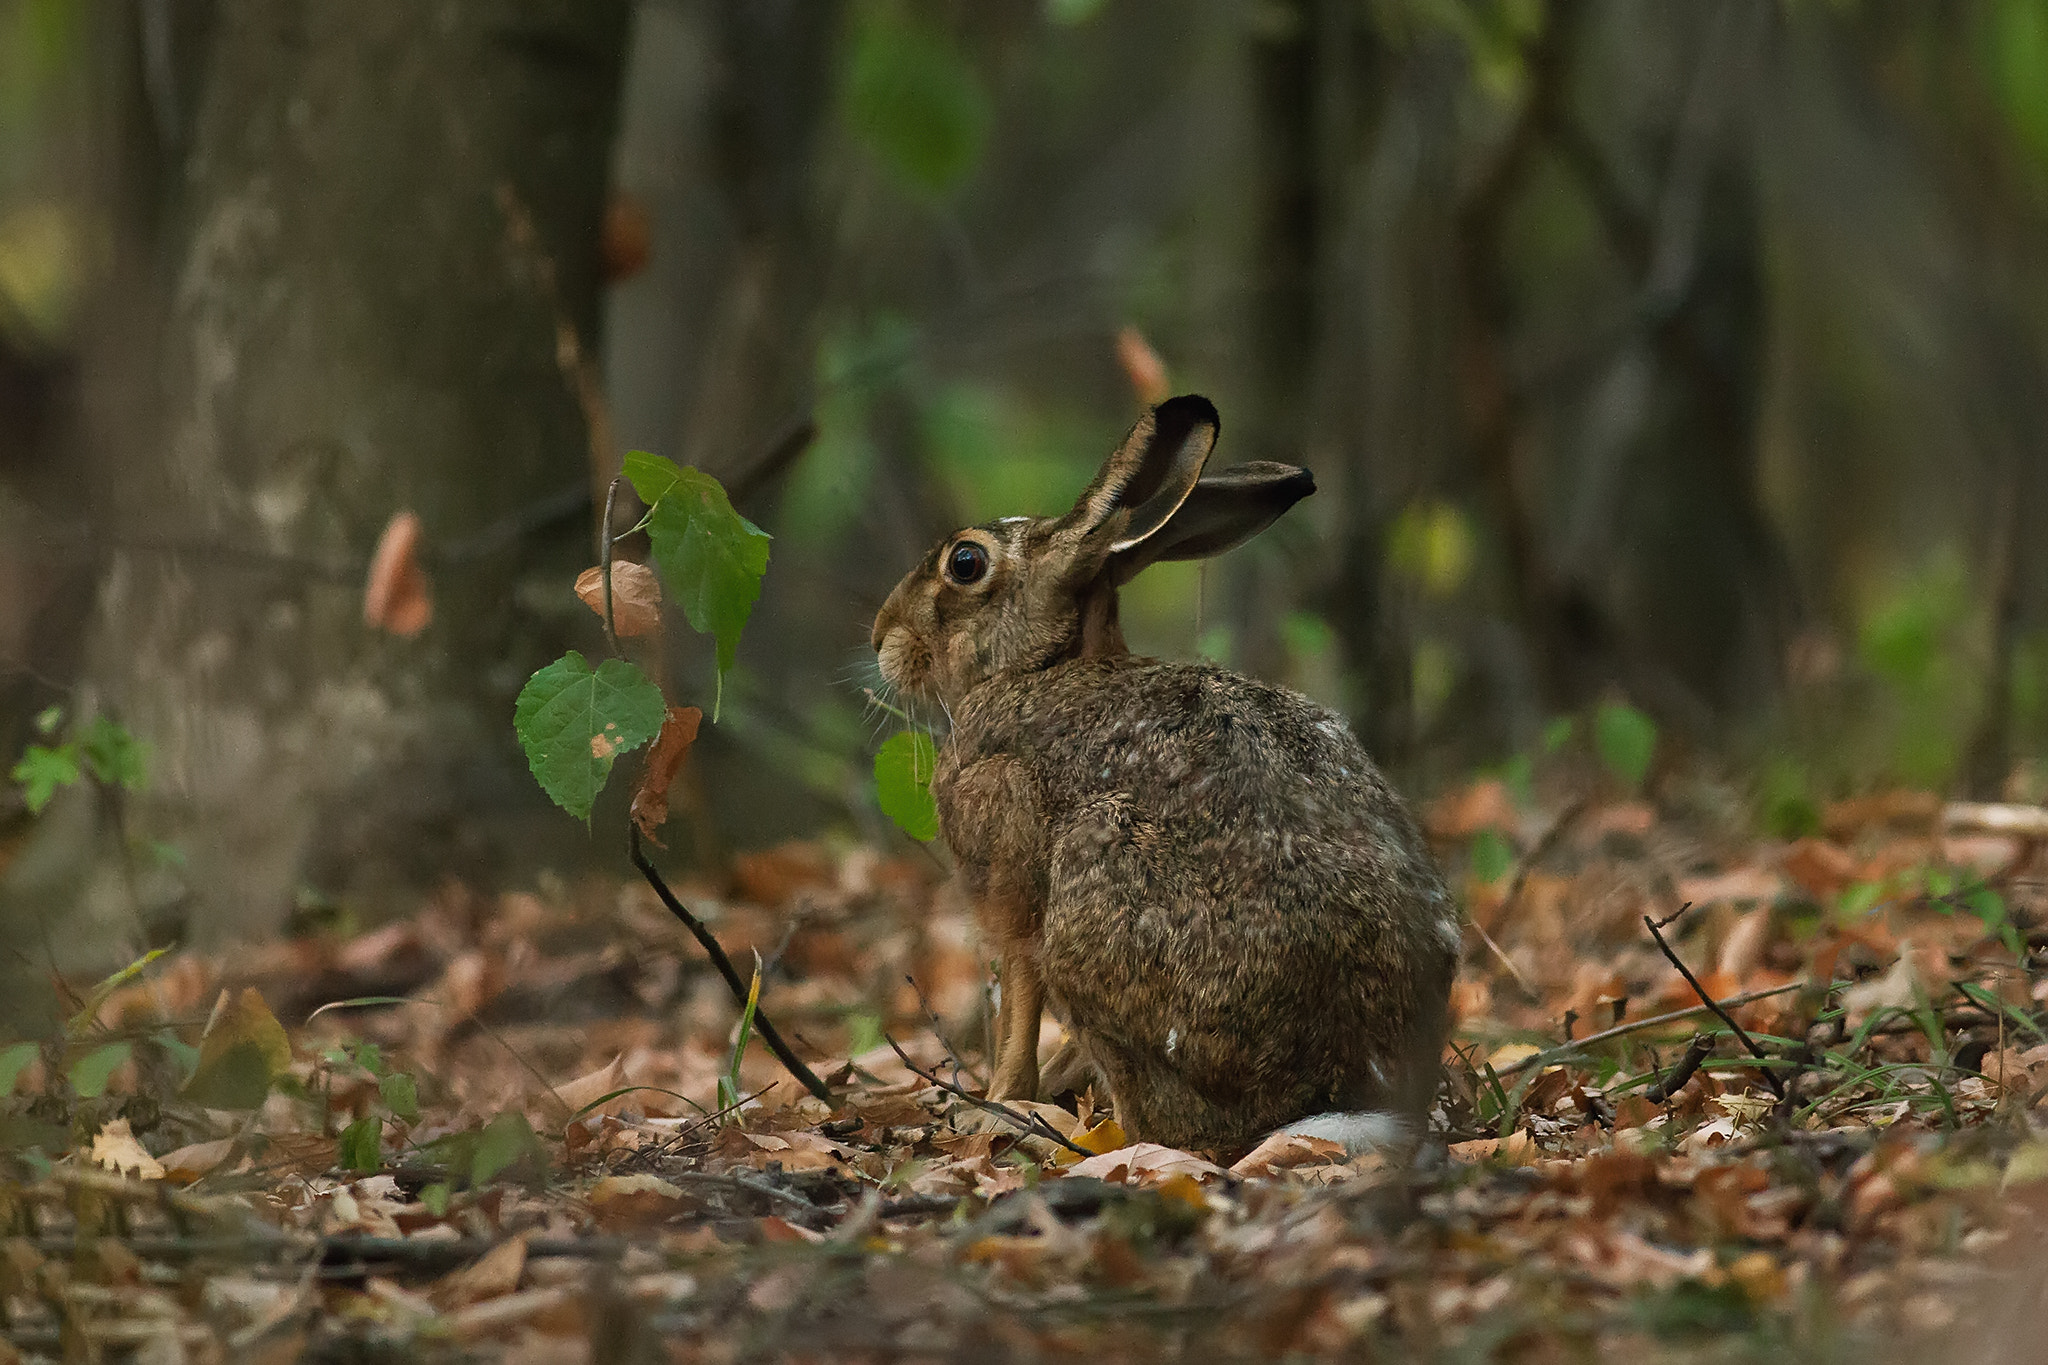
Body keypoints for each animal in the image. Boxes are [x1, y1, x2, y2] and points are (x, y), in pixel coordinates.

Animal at [870, 395, 1459, 1159]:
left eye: (964, 562)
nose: (880, 636)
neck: (1037, 666)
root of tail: (1337, 1088)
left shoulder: (1009, 885)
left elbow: (1019, 1003)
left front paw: (996, 1103)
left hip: (1097, 888)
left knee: (1167, 1128)